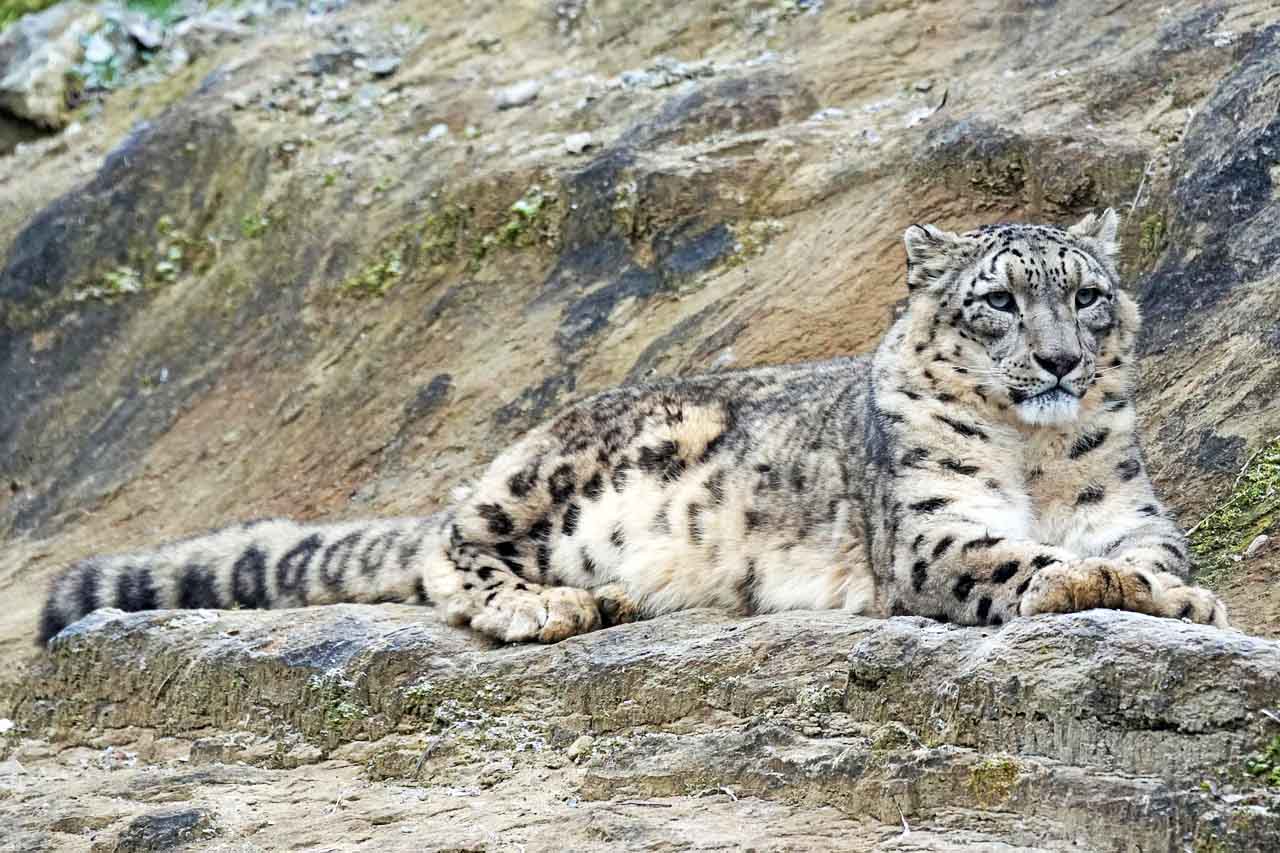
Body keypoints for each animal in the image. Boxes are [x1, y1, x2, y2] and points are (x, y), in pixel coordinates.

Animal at [37, 208, 1230, 646]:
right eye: (998, 300)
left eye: (1086, 295)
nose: (1060, 360)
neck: (1037, 458)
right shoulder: (933, 528)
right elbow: (1024, 560)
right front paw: (1108, 587)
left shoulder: (1131, 507)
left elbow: (1146, 554)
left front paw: (1175, 593)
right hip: (541, 478)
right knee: (447, 548)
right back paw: (549, 605)